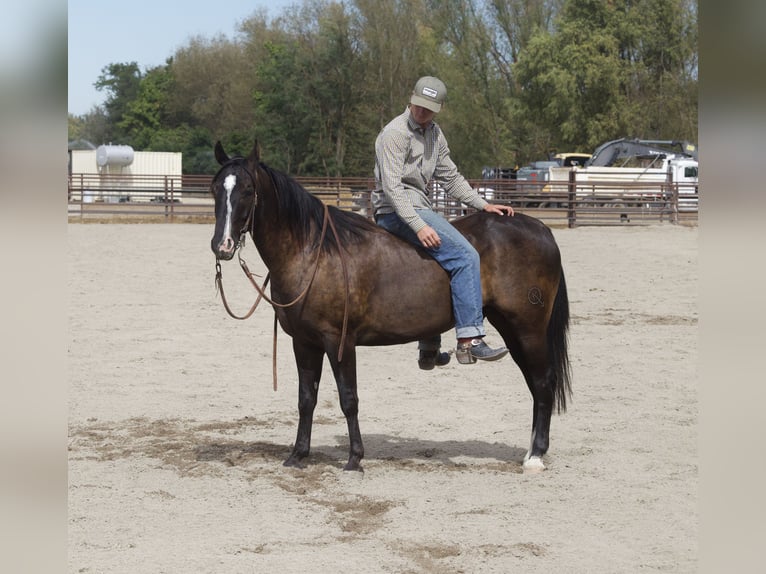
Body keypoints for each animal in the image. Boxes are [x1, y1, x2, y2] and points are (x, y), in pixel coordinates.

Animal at [209, 139, 572, 473]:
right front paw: (298, 455)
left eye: (247, 190)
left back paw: (536, 456)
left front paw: (354, 459)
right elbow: (306, 399)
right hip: (513, 329)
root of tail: (541, 229)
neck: (314, 252)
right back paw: (530, 450)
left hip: (527, 329)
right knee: (536, 385)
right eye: (215, 189)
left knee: (543, 383)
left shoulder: (338, 342)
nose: (221, 245)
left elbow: (349, 399)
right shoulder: (304, 342)